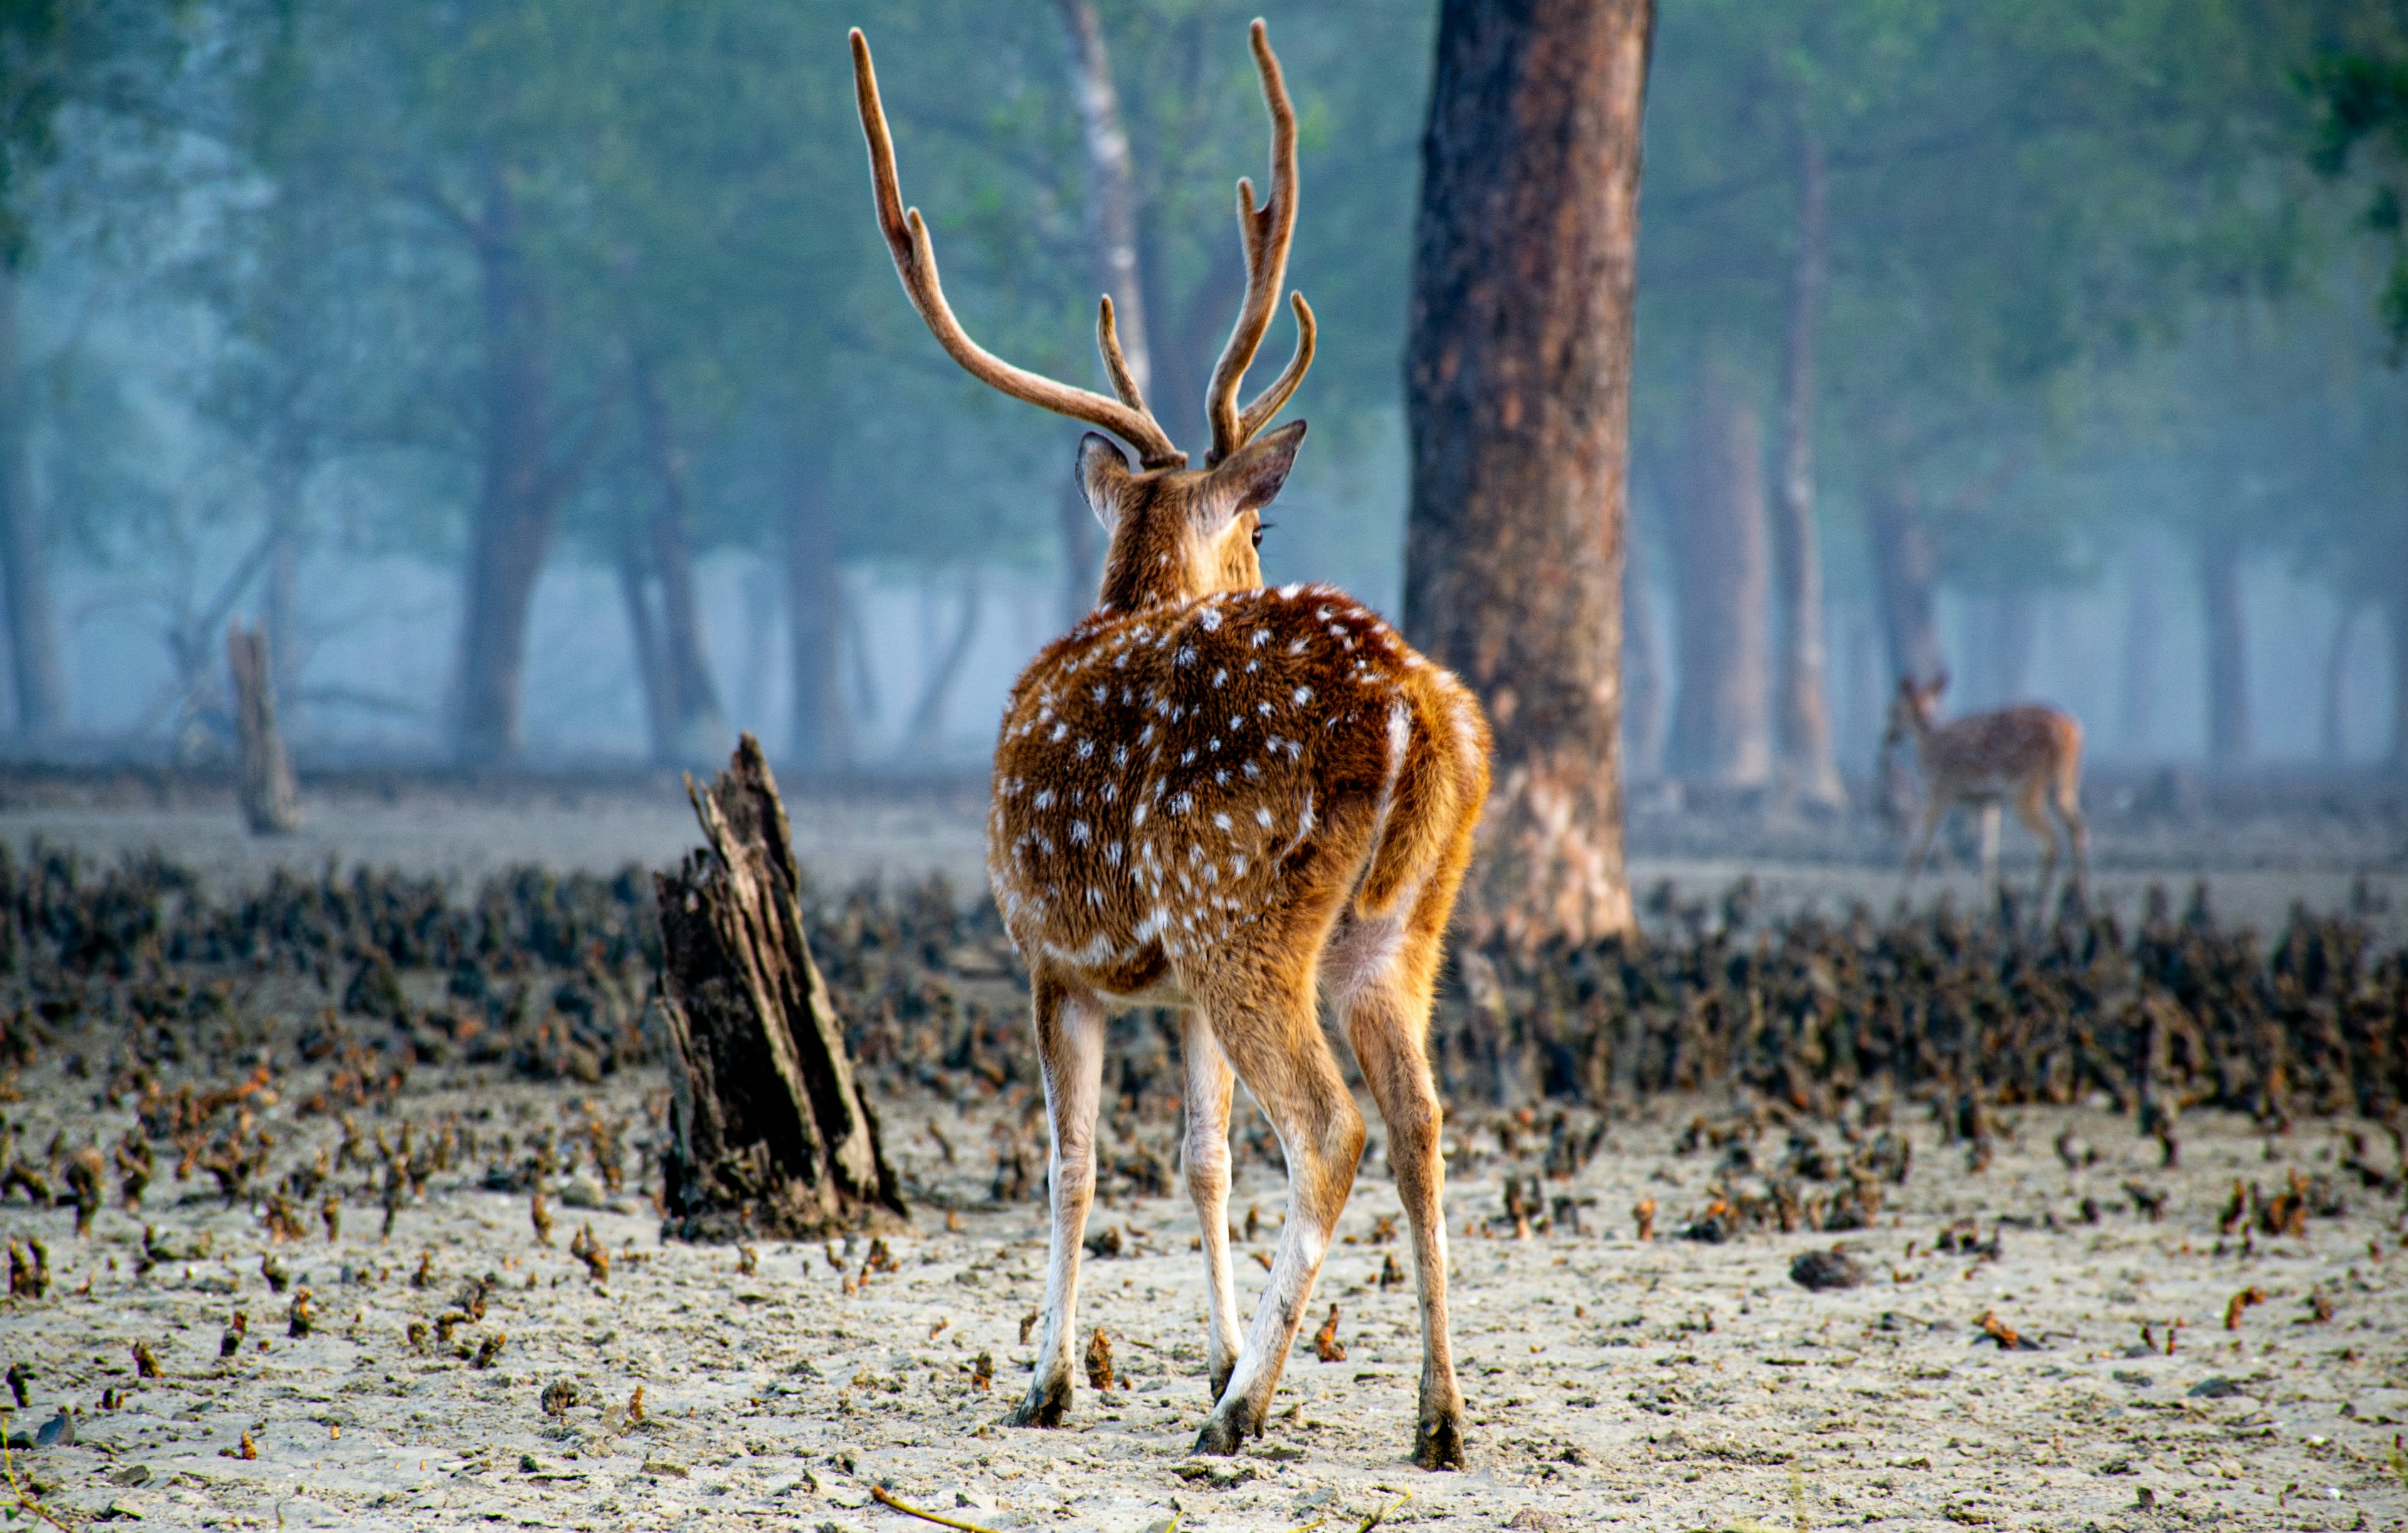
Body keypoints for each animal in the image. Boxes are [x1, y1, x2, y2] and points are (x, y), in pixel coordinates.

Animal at [850, 21, 1490, 1470]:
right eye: (1257, 525)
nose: (1262, 554)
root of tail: (1415, 710)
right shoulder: (1177, 987)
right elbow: (1199, 1155)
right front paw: (1201, 1348)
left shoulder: (1049, 949)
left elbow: (1073, 1161)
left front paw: (1050, 1379)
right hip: (1390, 928)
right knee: (1421, 1119)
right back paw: (1434, 1415)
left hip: (1234, 904)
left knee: (1331, 1125)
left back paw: (1244, 1412)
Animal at [1884, 672, 2087, 915]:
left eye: (1893, 709)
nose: (1888, 735)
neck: (1928, 745)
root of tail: (2072, 732)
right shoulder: (1988, 800)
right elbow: (1988, 853)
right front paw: (1989, 909)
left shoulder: (1941, 789)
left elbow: (1919, 847)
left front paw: (1899, 905)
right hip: (2065, 786)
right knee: (2078, 829)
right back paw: (2079, 905)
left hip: (2026, 788)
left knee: (2052, 841)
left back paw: (2040, 913)